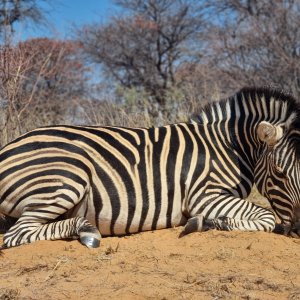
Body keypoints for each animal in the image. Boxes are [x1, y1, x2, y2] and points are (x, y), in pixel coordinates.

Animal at [0, 86, 300, 248]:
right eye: (280, 174)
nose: (298, 229)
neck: (229, 148)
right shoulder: (204, 195)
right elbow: (268, 217)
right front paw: (206, 222)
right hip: (67, 177)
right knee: (17, 234)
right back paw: (87, 230)